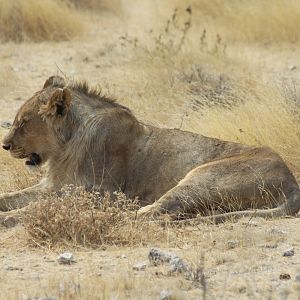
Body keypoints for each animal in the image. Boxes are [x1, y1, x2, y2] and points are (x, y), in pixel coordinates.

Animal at [0, 75, 300, 225]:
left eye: (23, 122)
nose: (5, 145)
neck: (65, 146)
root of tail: (292, 182)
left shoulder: (101, 193)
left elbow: (38, 206)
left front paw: (11, 218)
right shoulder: (53, 186)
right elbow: (12, 197)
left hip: (202, 178)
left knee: (153, 212)